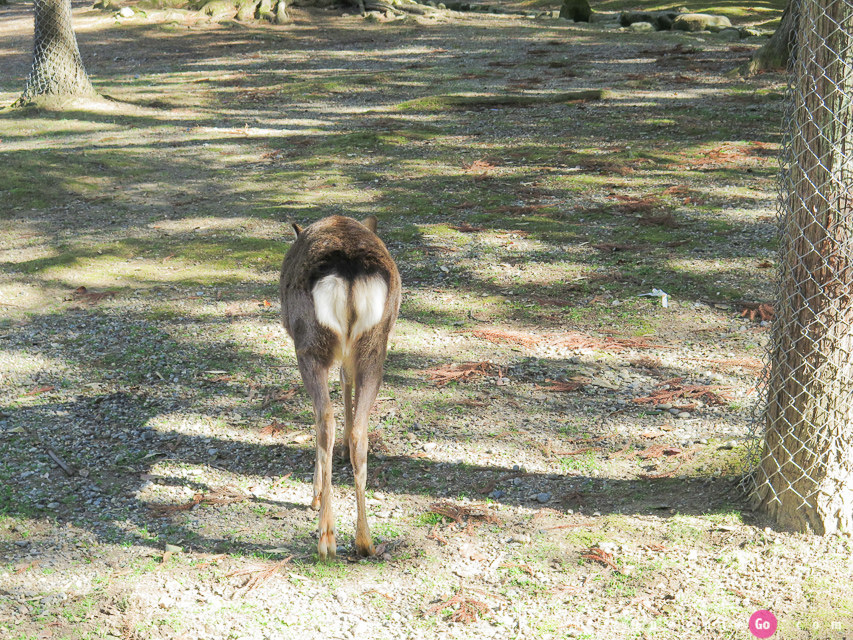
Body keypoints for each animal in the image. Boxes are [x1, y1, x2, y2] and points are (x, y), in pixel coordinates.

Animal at [278, 214, 402, 560]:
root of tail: (348, 269)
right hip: (375, 343)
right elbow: (346, 380)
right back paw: (364, 540)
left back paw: (326, 537)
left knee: (324, 421)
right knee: (361, 429)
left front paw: (315, 493)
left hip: (310, 344)